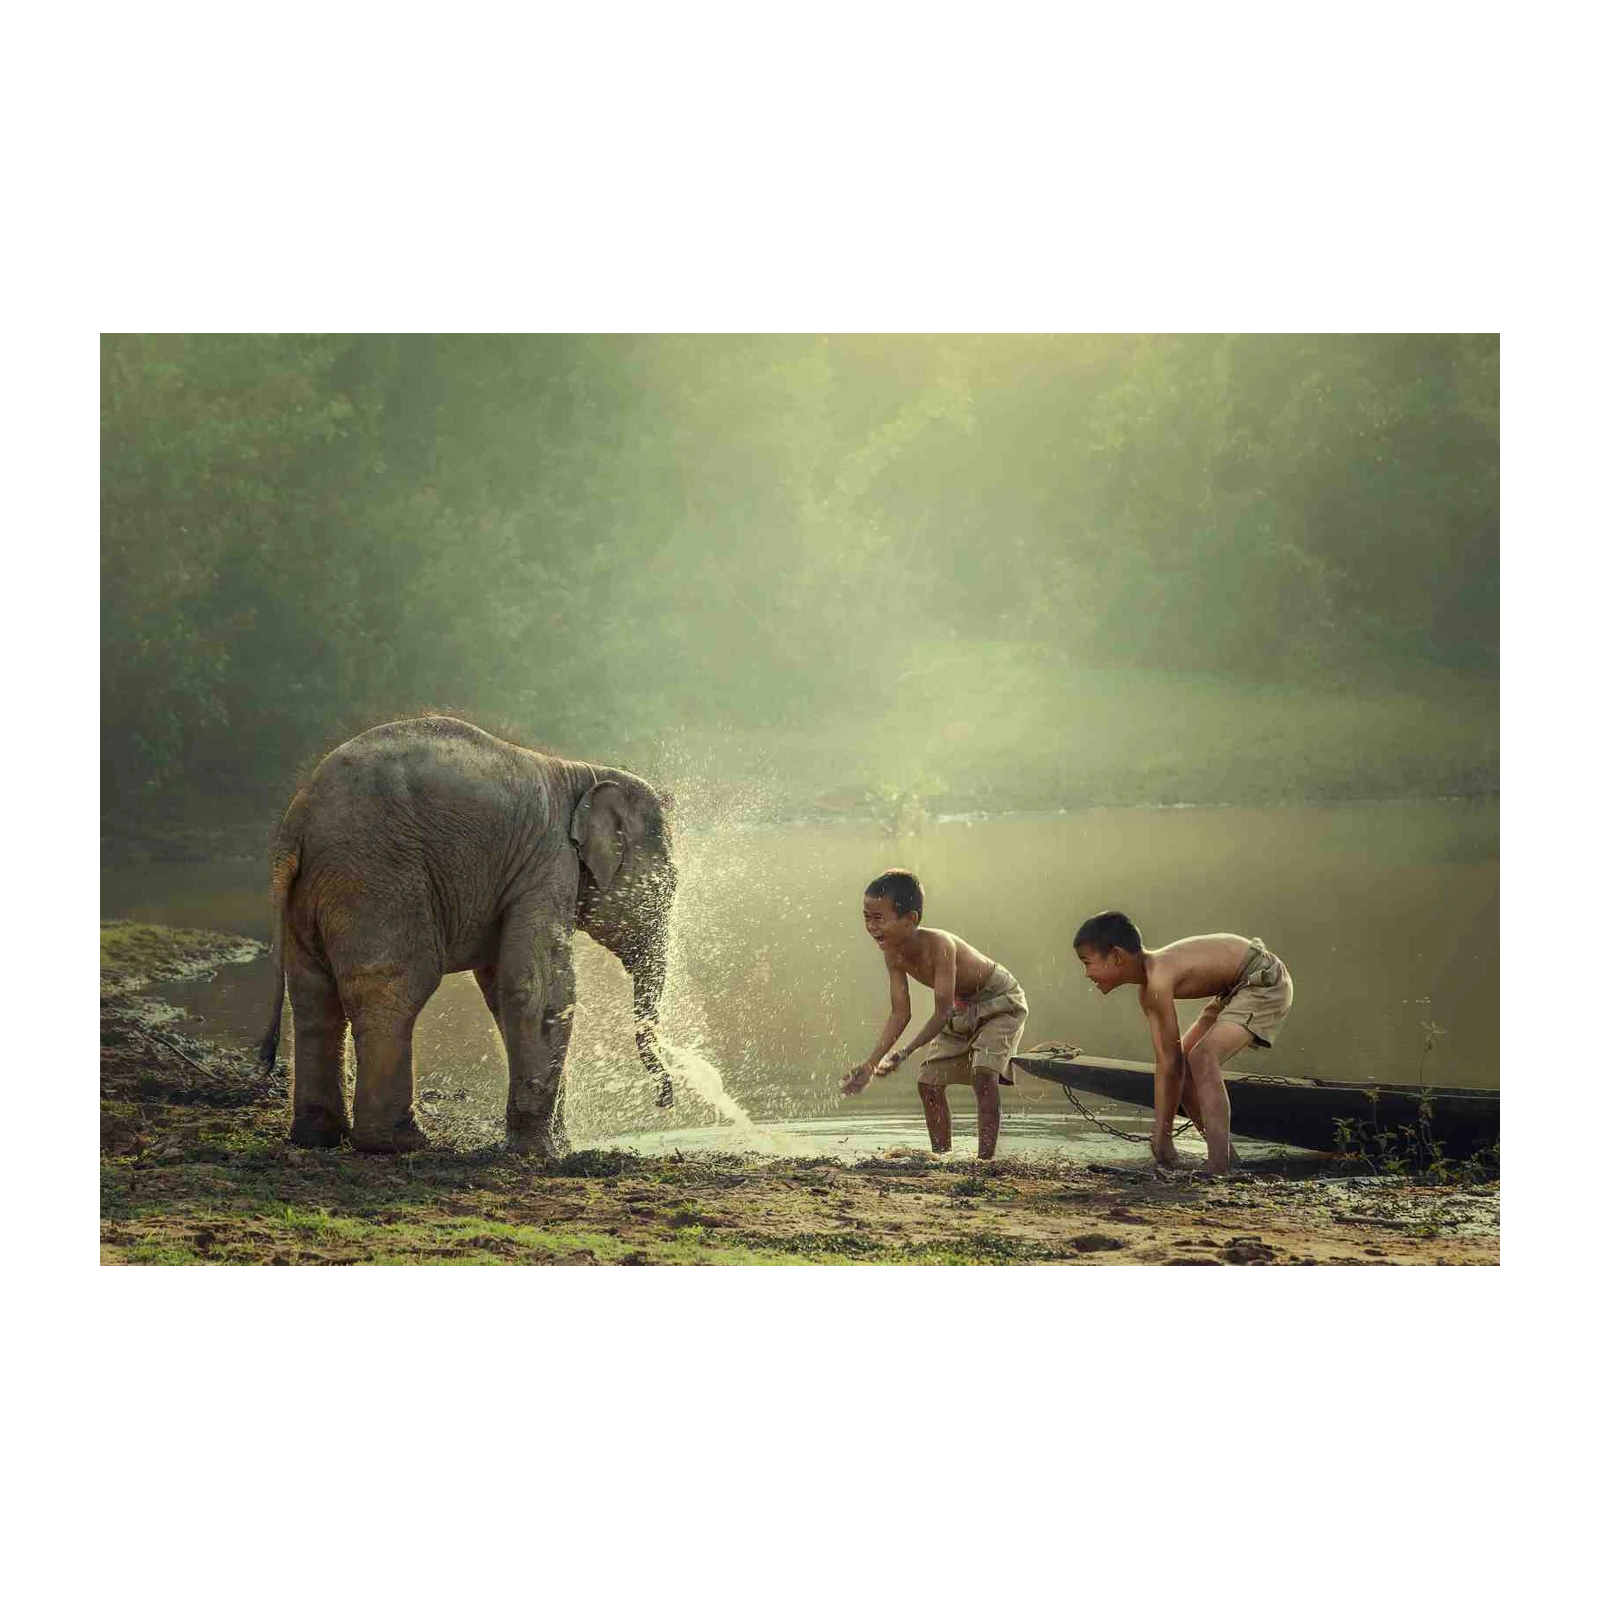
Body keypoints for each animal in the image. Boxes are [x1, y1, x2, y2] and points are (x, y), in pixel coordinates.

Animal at [256, 715, 677, 1157]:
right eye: (666, 887)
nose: (665, 1100)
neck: (583, 773)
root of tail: (298, 822)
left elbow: (502, 990)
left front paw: (554, 1144)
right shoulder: (548, 863)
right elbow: (539, 989)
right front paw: (544, 1152)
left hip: (311, 897)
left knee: (313, 998)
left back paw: (318, 1137)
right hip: (376, 881)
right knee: (393, 991)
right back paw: (399, 1142)